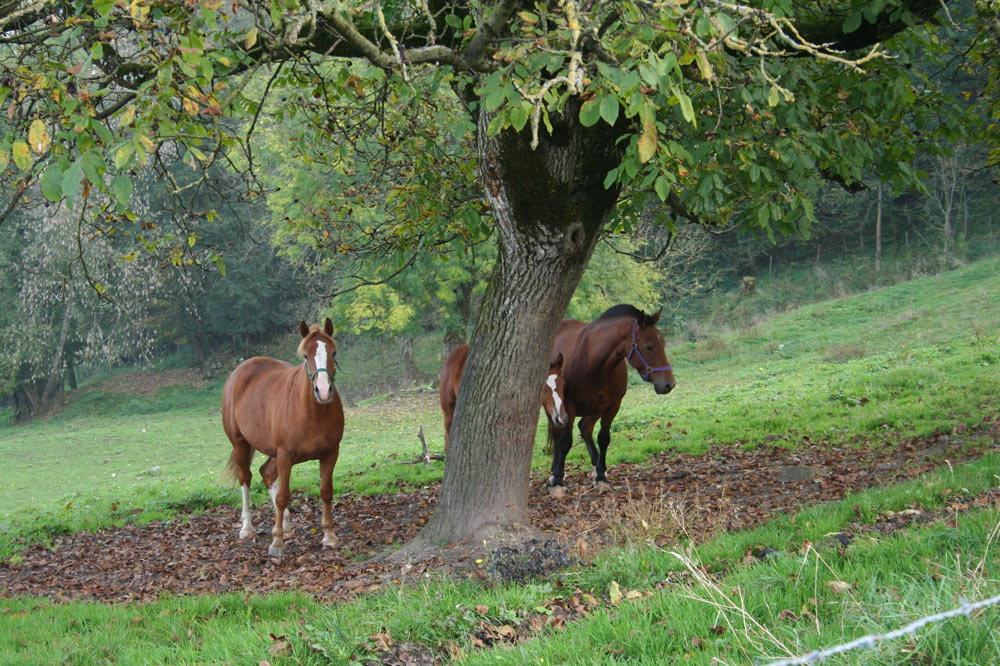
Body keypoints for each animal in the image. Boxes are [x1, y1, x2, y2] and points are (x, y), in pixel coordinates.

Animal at [221, 316, 346, 556]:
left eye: (334, 352)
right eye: (305, 355)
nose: (323, 391)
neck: (313, 412)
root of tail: (240, 371)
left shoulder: (330, 453)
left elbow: (326, 491)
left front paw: (330, 536)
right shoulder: (285, 456)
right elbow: (282, 497)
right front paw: (276, 543)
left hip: (273, 453)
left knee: (266, 474)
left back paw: (286, 525)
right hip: (241, 445)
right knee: (246, 478)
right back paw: (247, 528)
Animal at [548, 304, 680, 488]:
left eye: (663, 343)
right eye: (649, 346)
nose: (669, 384)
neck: (591, 361)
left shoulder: (613, 406)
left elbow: (604, 438)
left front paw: (600, 474)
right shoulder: (568, 407)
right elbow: (565, 442)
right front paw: (558, 477)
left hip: (595, 408)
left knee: (585, 427)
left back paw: (596, 463)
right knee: (557, 433)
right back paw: (555, 470)